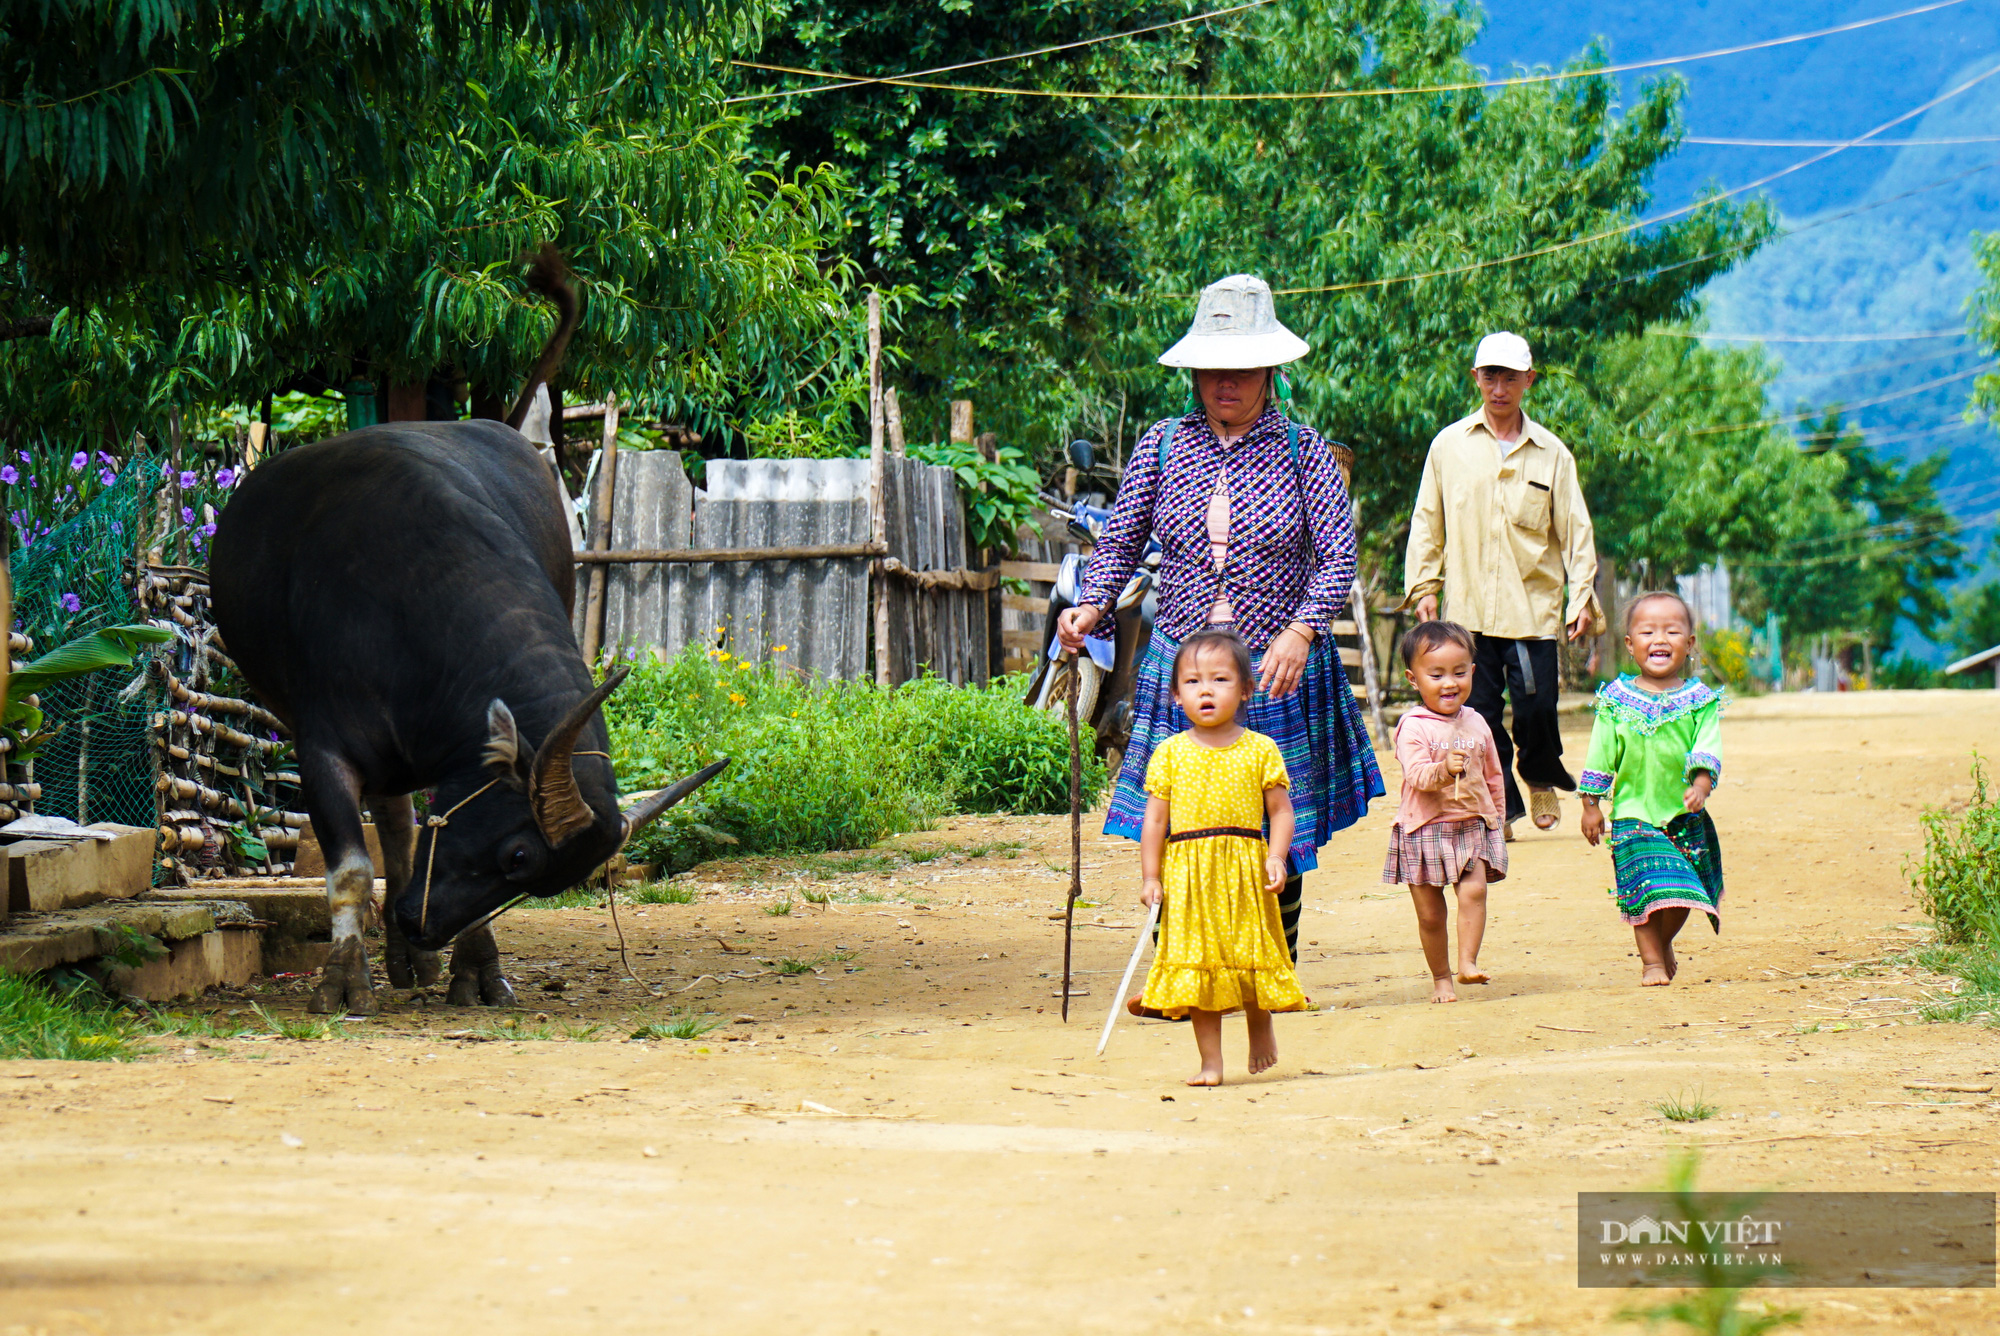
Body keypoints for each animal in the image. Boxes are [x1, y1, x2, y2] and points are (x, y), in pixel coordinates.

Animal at [211, 256, 724, 1012]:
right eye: (519, 854)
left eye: (536, 877)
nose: (420, 925)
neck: (403, 601)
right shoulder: (320, 745)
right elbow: (351, 870)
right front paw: (344, 979)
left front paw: (473, 967)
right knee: (392, 823)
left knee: (400, 822)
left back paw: (411, 962)